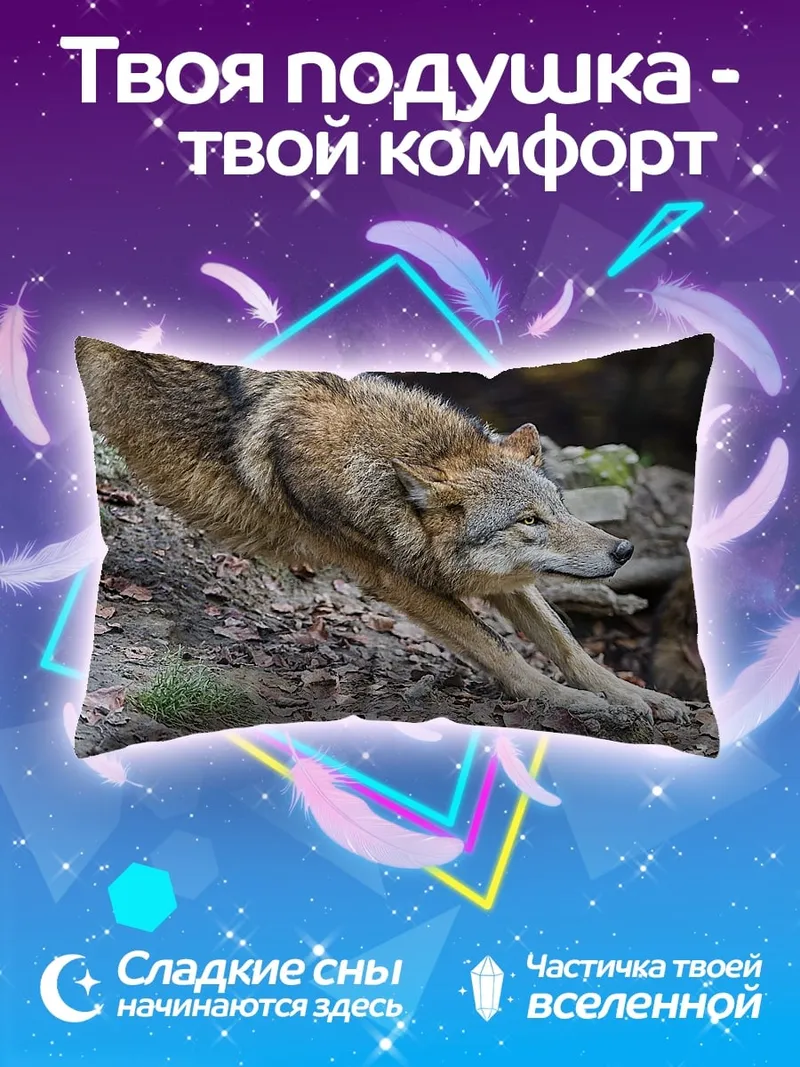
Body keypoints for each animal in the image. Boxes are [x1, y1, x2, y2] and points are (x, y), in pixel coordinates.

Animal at [74, 337, 688, 728]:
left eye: (558, 510)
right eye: (528, 521)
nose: (625, 548)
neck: (384, 459)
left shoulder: (494, 581)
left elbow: (565, 642)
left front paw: (636, 697)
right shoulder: (397, 581)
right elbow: (500, 649)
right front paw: (573, 703)